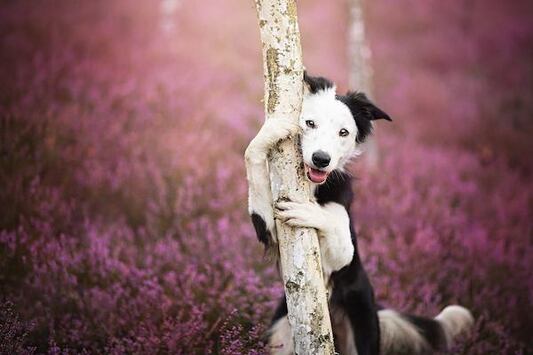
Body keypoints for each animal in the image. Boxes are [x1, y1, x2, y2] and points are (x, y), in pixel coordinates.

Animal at [243, 73, 472, 354]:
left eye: (343, 132)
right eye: (310, 123)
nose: (321, 159)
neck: (313, 186)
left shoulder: (343, 254)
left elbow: (334, 227)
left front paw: (309, 211)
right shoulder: (269, 229)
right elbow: (252, 160)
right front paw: (270, 132)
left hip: (361, 321)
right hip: (283, 331)